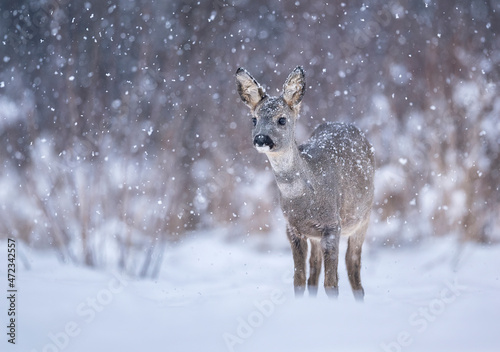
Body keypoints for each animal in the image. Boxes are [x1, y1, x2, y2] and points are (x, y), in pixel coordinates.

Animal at [236, 66, 374, 300]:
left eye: (282, 119)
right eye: (253, 119)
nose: (261, 139)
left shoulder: (332, 225)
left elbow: (331, 284)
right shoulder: (293, 228)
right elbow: (299, 279)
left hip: (363, 218)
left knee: (353, 266)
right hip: (318, 235)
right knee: (314, 271)